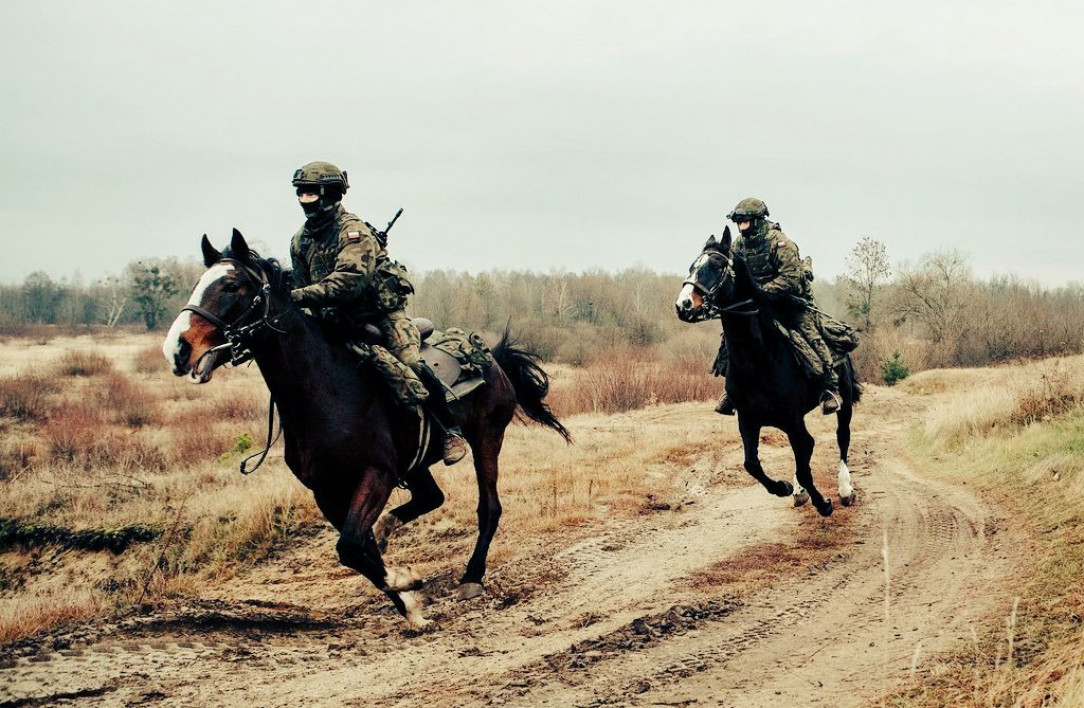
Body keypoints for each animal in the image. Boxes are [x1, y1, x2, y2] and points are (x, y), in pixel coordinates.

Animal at [160, 228, 572, 628]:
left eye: (232, 286)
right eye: (198, 283)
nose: (177, 349)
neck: (326, 391)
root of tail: (494, 358)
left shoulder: (376, 474)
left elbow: (351, 546)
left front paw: (407, 582)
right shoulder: (326, 492)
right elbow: (357, 550)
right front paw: (411, 607)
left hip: (487, 438)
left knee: (489, 508)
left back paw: (472, 577)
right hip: (416, 465)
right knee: (429, 499)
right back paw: (389, 531)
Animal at [672, 228, 858, 516]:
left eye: (716, 266)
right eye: (693, 266)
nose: (684, 305)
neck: (758, 360)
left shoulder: (791, 420)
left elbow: (805, 460)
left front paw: (823, 503)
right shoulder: (748, 420)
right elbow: (752, 464)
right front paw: (784, 487)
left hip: (844, 403)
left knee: (842, 438)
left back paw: (845, 489)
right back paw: (800, 491)